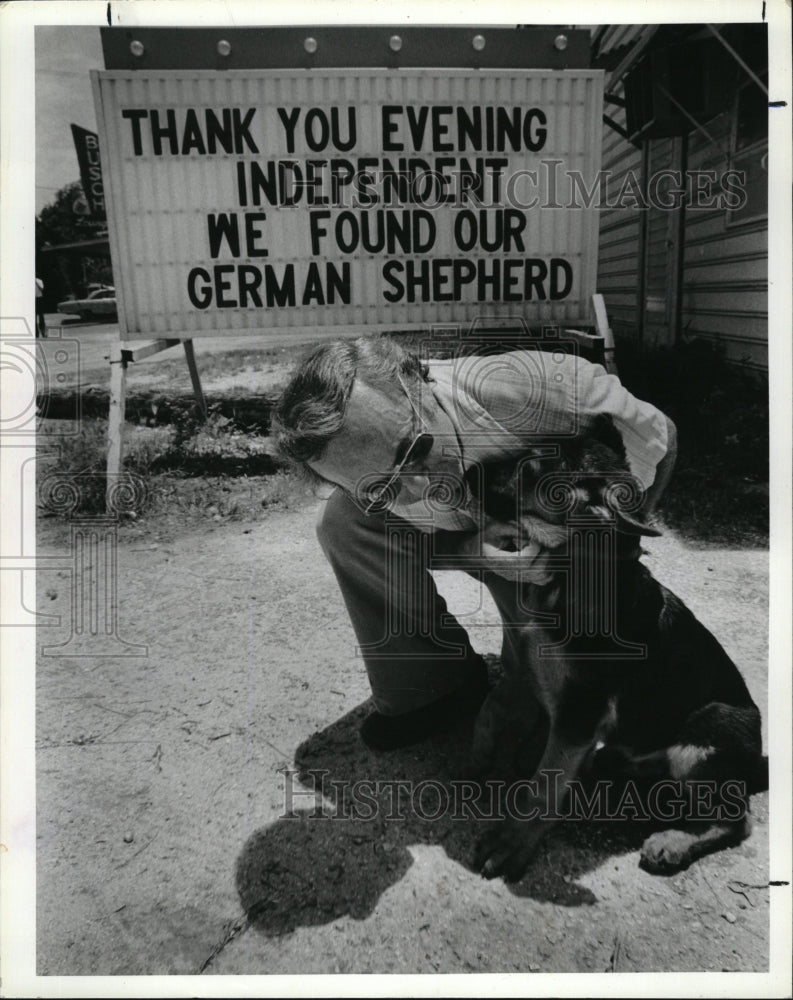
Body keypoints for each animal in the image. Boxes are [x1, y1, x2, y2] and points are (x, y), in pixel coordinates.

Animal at [464, 418, 768, 880]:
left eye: (530, 467)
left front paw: (510, 840)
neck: (574, 574)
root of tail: (755, 760)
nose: (465, 473)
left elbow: (544, 785)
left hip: (709, 729)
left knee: (736, 819)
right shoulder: (529, 668)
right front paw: (482, 754)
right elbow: (495, 707)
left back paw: (673, 841)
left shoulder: (577, 712)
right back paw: (609, 763)